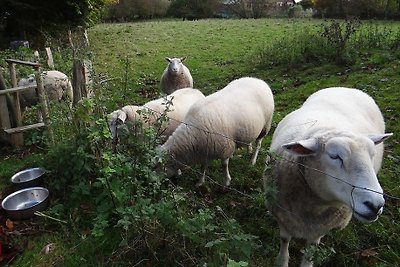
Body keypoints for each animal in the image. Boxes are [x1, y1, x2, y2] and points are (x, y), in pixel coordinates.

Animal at [264, 88, 392, 267]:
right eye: (335, 156)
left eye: (372, 155)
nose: (375, 205)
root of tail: (345, 88)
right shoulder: (282, 215)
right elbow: (284, 239)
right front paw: (281, 261)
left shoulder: (319, 227)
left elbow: (311, 249)